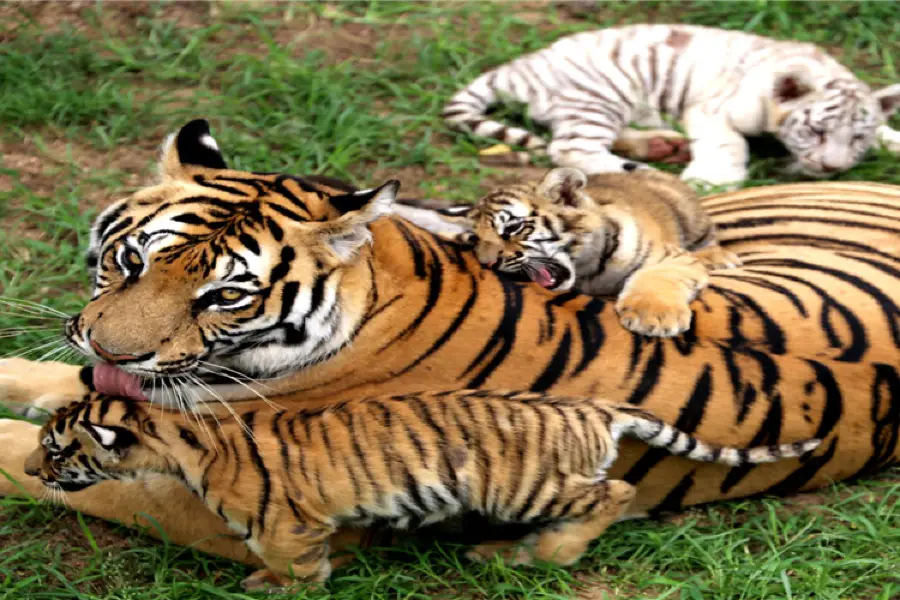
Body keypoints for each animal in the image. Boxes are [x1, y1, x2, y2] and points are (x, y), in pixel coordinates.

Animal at [428, 168, 740, 338]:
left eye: (513, 228)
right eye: (474, 240)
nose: (488, 263)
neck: (589, 271)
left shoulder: (670, 258)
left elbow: (656, 278)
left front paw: (654, 317)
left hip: (690, 215)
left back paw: (719, 257)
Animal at [442, 24, 900, 188]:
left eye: (856, 138)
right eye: (816, 131)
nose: (832, 168)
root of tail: (518, 67)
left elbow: (887, 130)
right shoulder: (714, 110)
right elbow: (730, 144)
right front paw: (711, 181)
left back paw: (663, 146)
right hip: (604, 92)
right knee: (569, 147)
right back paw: (645, 169)